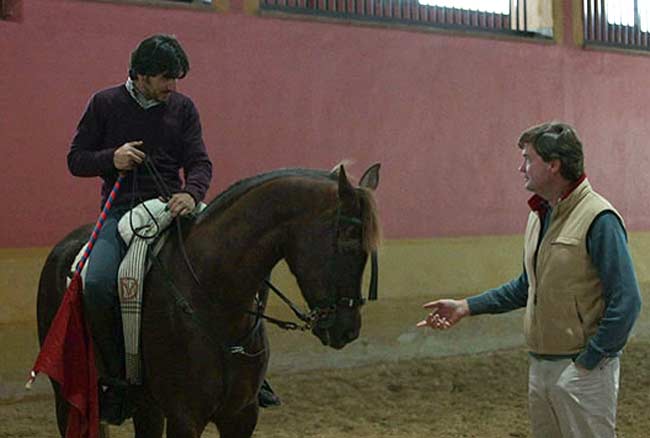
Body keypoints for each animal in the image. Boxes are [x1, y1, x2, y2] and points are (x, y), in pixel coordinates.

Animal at [36, 165, 380, 438]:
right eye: (348, 240)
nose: (348, 330)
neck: (217, 300)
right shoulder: (185, 418)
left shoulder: (241, 415)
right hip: (67, 395)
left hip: (147, 406)